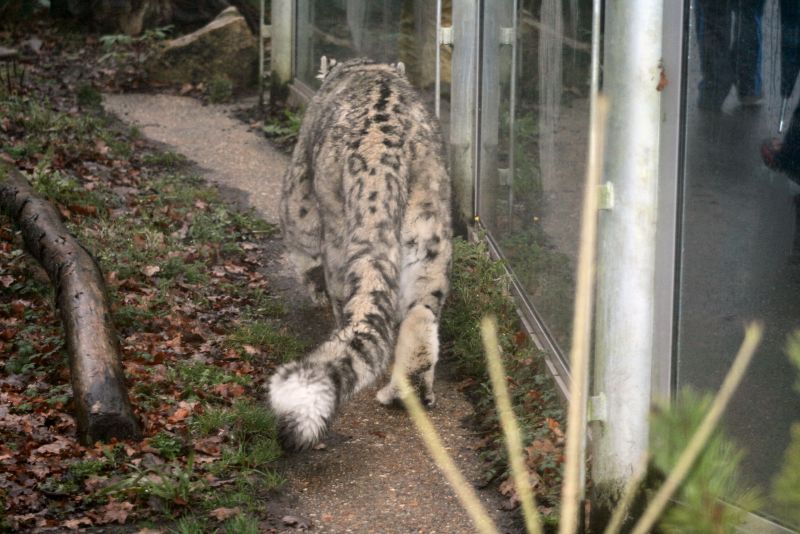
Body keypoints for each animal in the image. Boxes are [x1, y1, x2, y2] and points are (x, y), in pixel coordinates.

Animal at [267, 57, 452, 451]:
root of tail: (384, 155)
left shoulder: (297, 191)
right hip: (429, 240)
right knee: (421, 314)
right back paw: (405, 393)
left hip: (341, 240)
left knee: (347, 297)